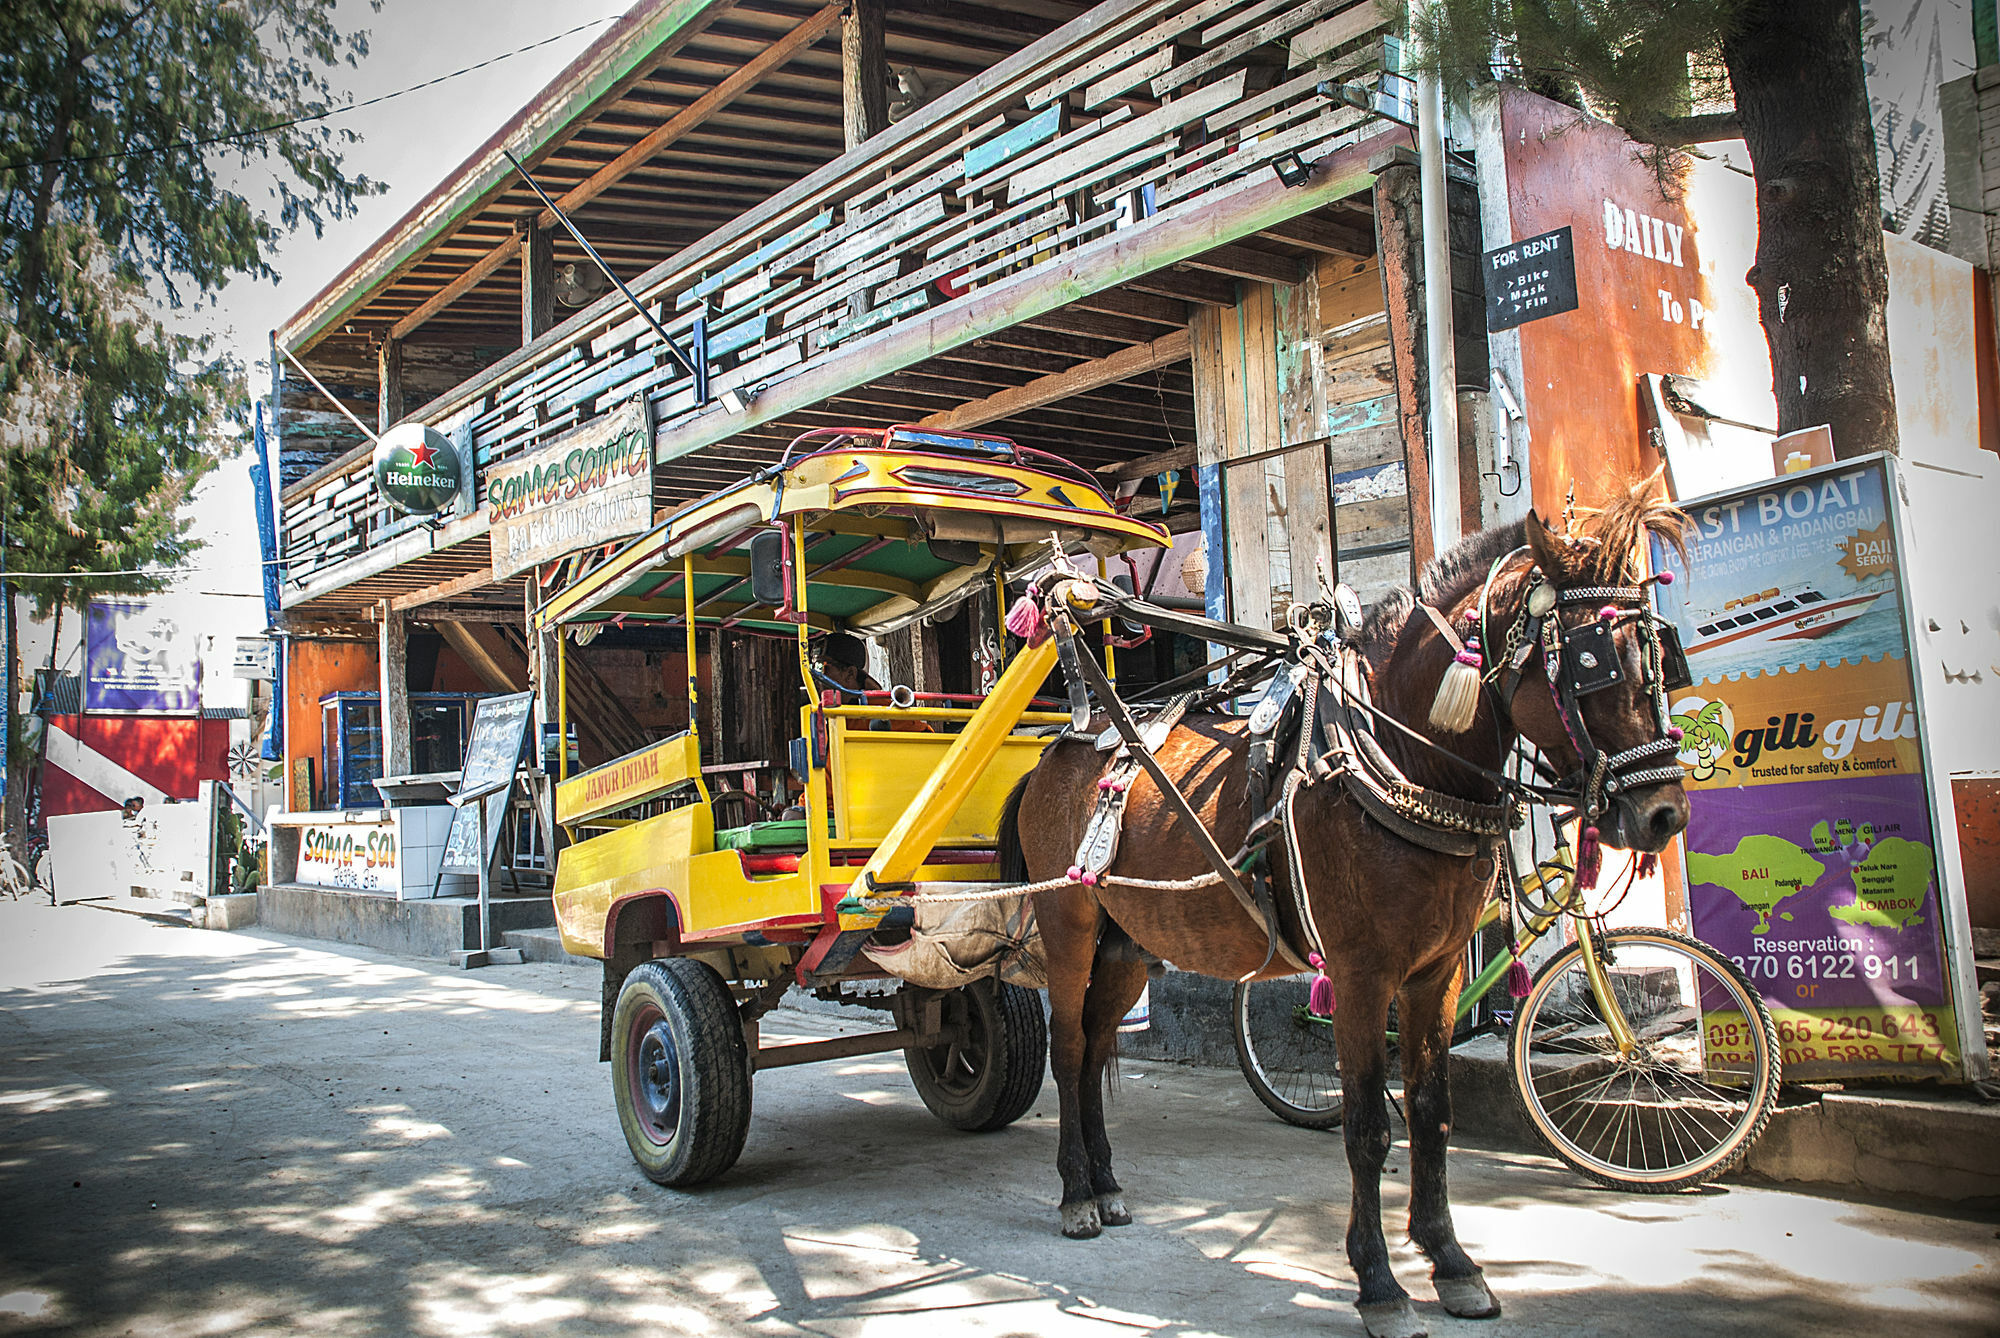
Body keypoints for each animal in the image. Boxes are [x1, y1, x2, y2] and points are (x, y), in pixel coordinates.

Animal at [1000, 490, 1688, 1336]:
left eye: (1661, 653)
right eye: (1590, 661)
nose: (1663, 814)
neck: (1397, 763)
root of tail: (1056, 750)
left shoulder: (1436, 973)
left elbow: (1430, 1111)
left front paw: (1452, 1263)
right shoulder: (1362, 975)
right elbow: (1367, 1125)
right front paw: (1380, 1285)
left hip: (1128, 945)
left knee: (1098, 1047)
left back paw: (1105, 1182)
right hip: (1069, 927)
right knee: (1069, 1052)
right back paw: (1075, 1195)